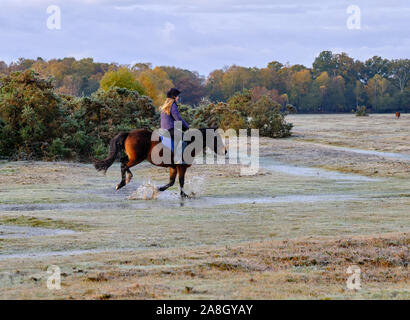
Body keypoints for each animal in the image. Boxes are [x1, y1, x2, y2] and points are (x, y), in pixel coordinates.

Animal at [93, 127, 226, 198]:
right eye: (216, 138)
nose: (225, 151)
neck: (190, 143)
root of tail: (129, 133)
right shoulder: (181, 167)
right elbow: (180, 181)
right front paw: (184, 195)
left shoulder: (173, 167)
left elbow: (171, 182)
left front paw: (158, 189)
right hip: (137, 158)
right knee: (124, 165)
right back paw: (125, 180)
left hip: (133, 157)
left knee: (122, 162)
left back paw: (122, 182)